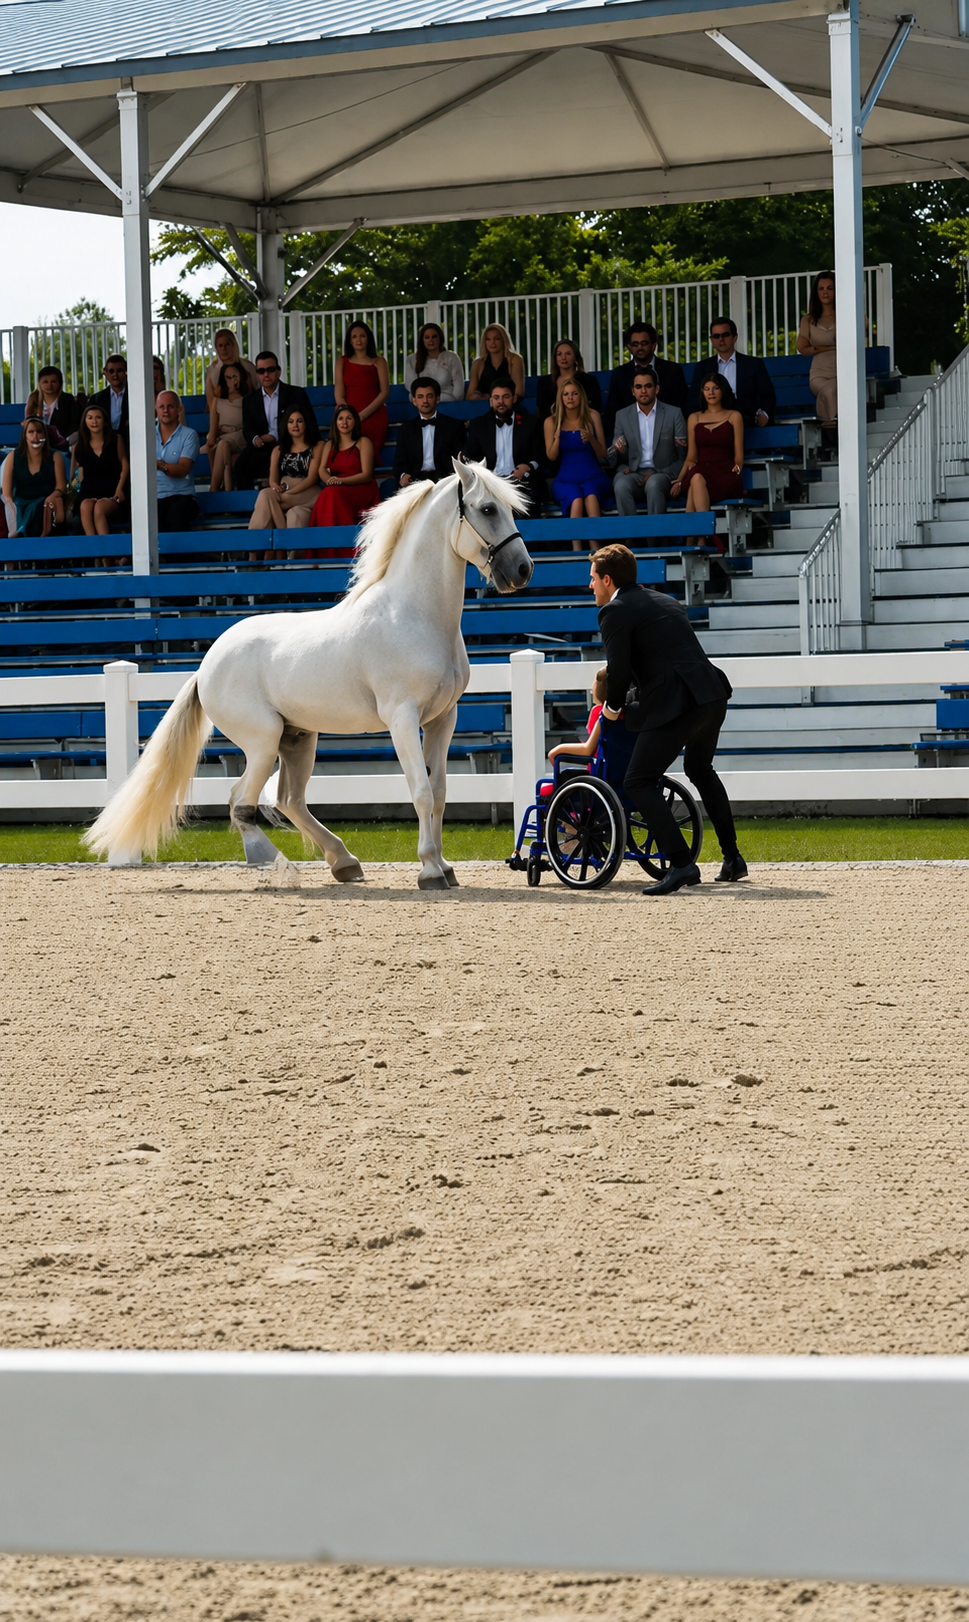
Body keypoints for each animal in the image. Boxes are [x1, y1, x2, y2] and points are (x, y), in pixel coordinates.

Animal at [83, 460, 533, 889]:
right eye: (487, 509)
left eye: (510, 508)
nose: (522, 570)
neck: (413, 615)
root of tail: (207, 665)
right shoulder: (402, 718)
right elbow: (420, 792)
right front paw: (429, 872)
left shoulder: (442, 718)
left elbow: (438, 793)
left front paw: (445, 867)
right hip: (263, 740)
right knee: (241, 802)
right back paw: (275, 862)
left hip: (297, 737)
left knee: (288, 800)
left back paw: (345, 863)